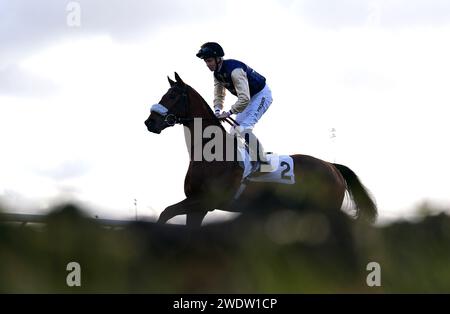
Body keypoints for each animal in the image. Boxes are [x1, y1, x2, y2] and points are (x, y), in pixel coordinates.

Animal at [144, 72, 376, 227]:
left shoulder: (205, 201)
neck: (212, 154)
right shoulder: (198, 206)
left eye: (173, 95)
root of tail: (332, 167)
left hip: (326, 209)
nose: (150, 122)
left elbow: (165, 213)